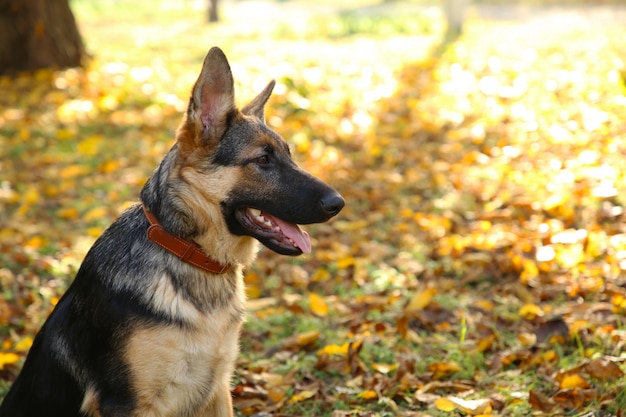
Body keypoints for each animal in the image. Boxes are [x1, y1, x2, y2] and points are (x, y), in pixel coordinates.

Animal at [0, 47, 342, 416]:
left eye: (289, 156)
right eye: (263, 160)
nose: (338, 203)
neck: (186, 250)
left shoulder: (218, 391)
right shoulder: (128, 404)